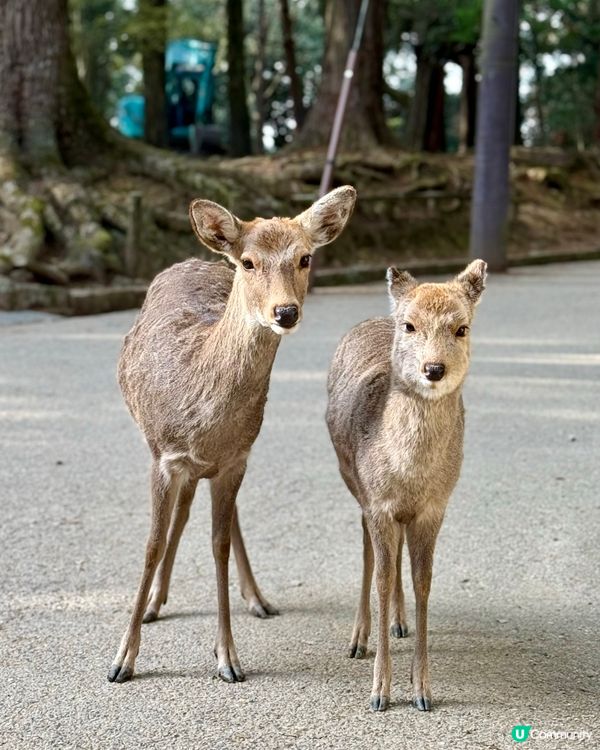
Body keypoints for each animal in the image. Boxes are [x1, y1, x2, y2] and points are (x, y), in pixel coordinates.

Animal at [108, 185, 357, 684]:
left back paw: (257, 598)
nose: (285, 311)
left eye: (304, 258)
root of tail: (196, 258)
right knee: (180, 514)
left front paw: (228, 658)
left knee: (213, 515)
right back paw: (154, 603)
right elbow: (151, 544)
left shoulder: (236, 458)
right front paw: (122, 659)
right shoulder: (164, 455)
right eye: (248, 261)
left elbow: (218, 545)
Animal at [326, 260, 487, 711]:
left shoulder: (435, 507)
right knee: (369, 551)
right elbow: (381, 577)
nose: (434, 369)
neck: (409, 476)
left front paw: (422, 690)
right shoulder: (377, 502)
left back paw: (399, 623)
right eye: (410, 326)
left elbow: (423, 581)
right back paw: (358, 639)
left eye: (462, 328)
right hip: (353, 482)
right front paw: (380, 692)